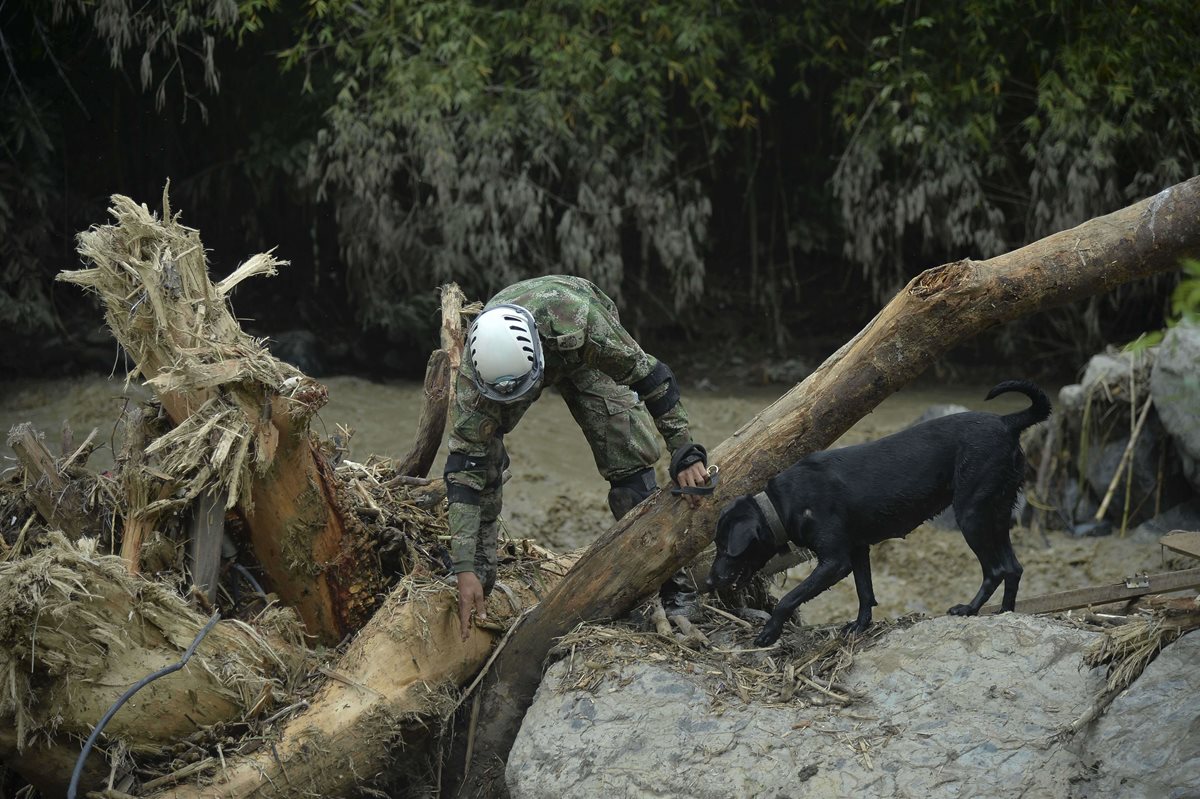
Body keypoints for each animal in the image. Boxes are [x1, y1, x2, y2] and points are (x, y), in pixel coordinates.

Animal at [705, 379, 1056, 647]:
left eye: (724, 547)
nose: (709, 581)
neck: (779, 504)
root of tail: (1006, 422)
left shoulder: (835, 561)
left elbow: (790, 597)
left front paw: (769, 633)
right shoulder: (858, 550)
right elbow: (865, 592)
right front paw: (860, 627)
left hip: (972, 516)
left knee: (995, 570)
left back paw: (968, 610)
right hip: (996, 513)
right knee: (1013, 567)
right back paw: (1004, 614)